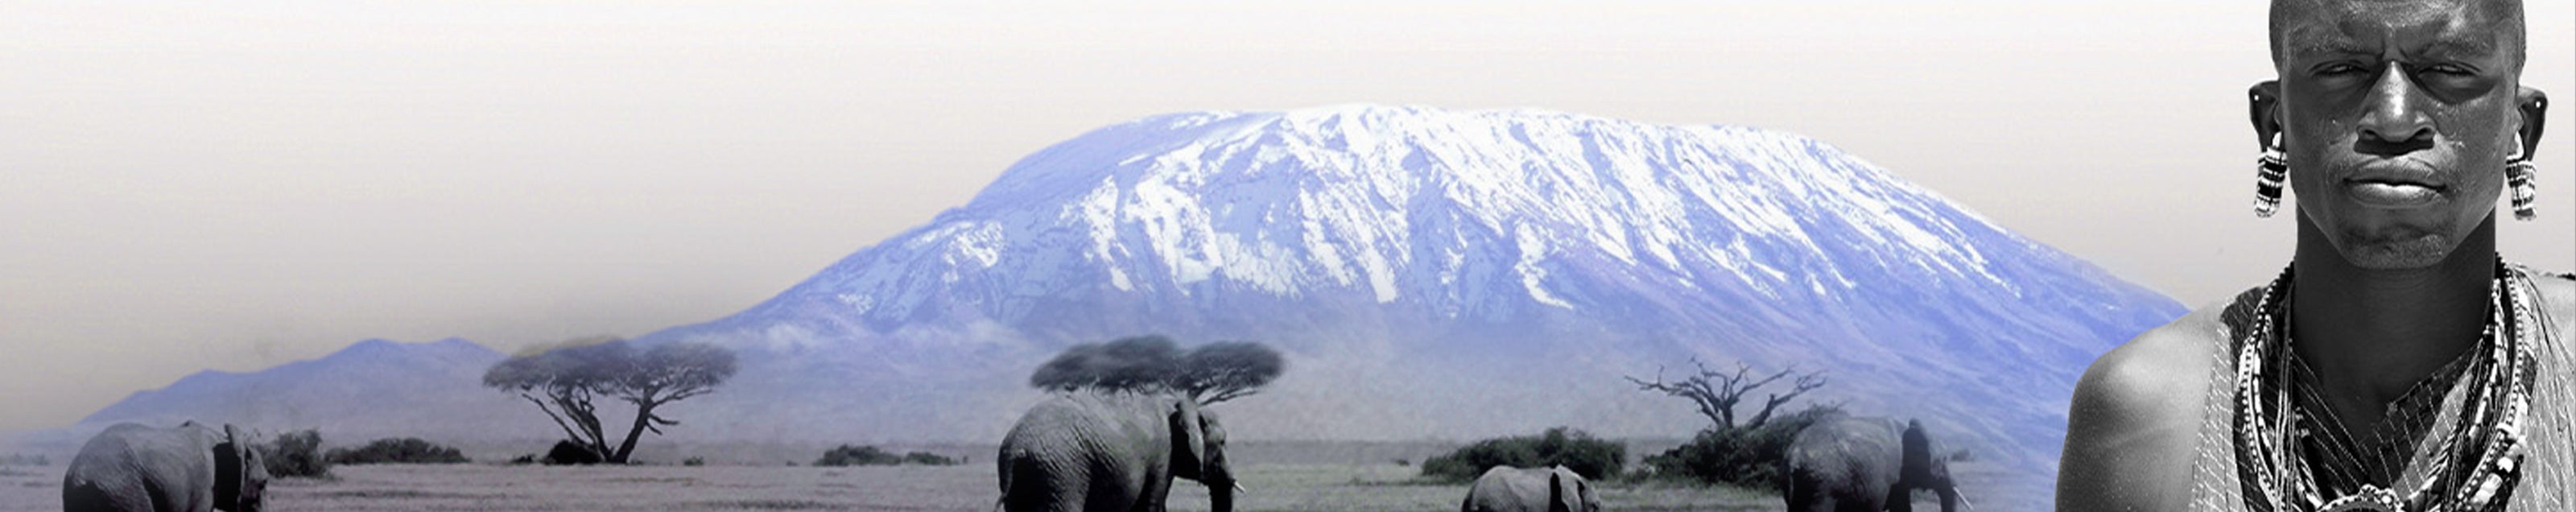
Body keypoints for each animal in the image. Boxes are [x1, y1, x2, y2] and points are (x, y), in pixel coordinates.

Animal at [989, 390, 1231, 512]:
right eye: (1222, 442)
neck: (1176, 404)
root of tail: (1016, 449)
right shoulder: (1163, 456)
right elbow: (1153, 503)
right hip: (1063, 472)